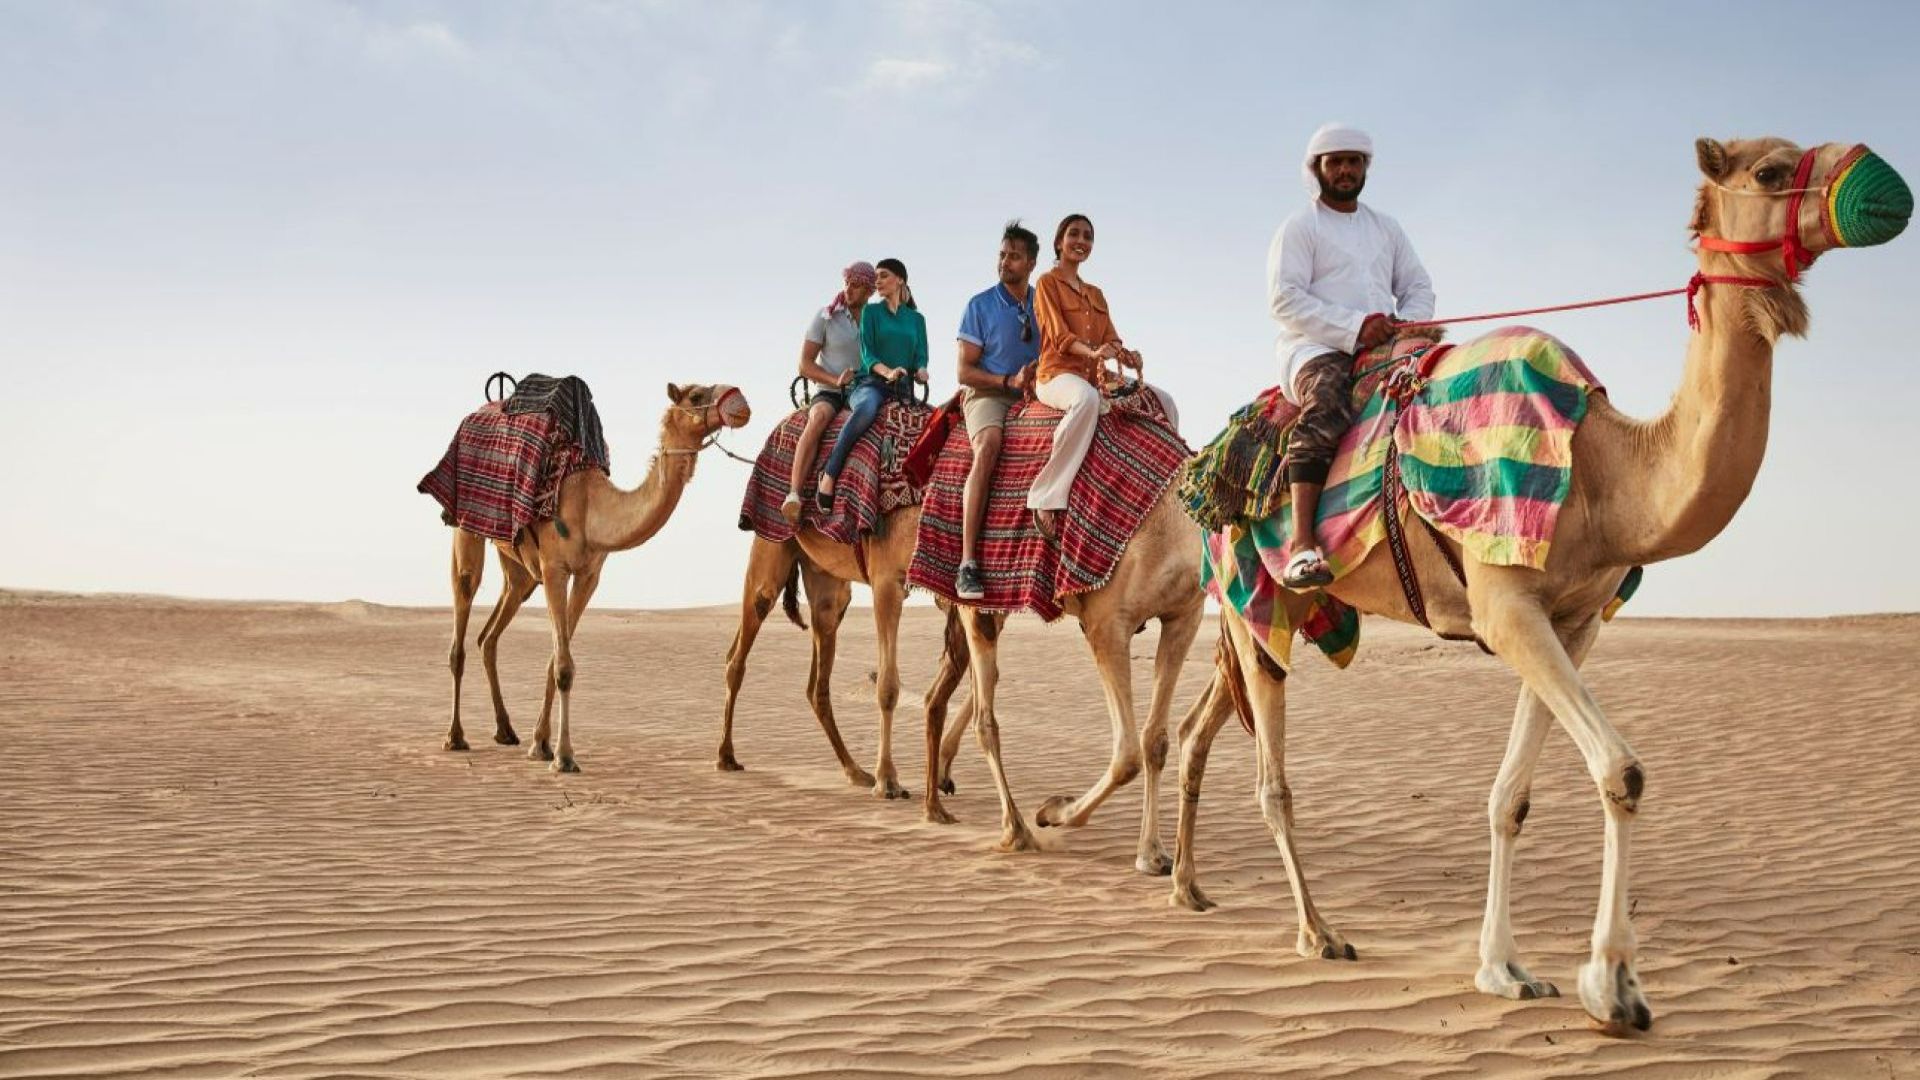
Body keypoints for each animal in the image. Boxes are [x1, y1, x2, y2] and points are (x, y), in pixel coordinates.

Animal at [443, 382, 751, 772]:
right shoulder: (554, 568)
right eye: (695, 396)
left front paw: (540, 744)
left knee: (490, 634)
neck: (592, 507)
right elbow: (563, 666)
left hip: (519, 570)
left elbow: (555, 660)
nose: (740, 402)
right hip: (466, 529)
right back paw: (455, 737)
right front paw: (563, 757)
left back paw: (505, 730)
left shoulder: (589, 575)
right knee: (462, 618)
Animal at [718, 510, 923, 800]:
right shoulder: (886, 580)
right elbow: (888, 687)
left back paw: (855, 771)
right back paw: (726, 757)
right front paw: (888, 782)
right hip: (770, 547)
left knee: (815, 684)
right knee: (742, 645)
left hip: (826, 583)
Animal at [1167, 137, 1909, 1034]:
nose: (1883, 182)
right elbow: (1622, 771)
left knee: (1201, 726)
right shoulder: (1505, 604)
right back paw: (1318, 932)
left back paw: (1185, 886)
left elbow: (1511, 797)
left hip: (1279, 613)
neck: (1604, 469)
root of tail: (1206, 470)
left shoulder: (1573, 619)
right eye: (1769, 171)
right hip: (1258, 591)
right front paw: (1614, 985)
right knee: (1271, 777)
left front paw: (1507, 967)